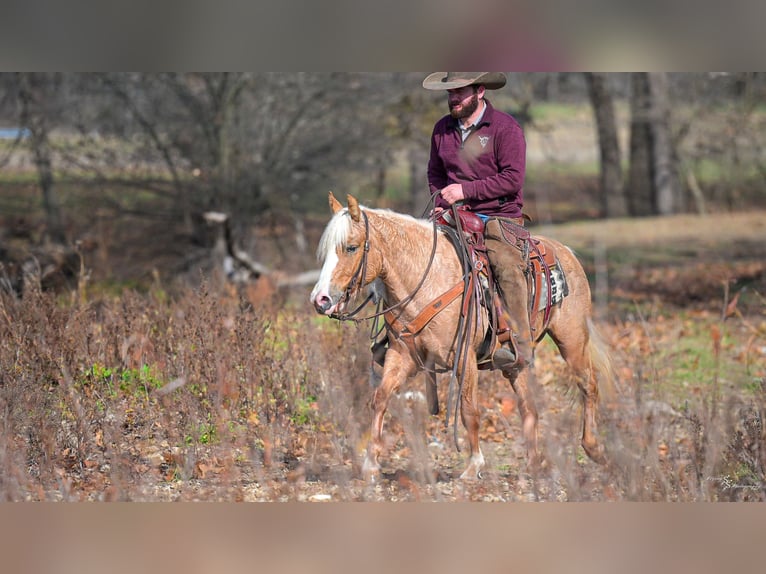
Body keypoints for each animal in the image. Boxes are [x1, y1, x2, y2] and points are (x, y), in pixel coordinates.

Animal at [310, 192, 613, 481]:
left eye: (351, 247)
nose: (320, 299)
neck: (427, 280)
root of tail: (567, 252)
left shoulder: (464, 356)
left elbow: (469, 409)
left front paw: (473, 465)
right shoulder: (402, 355)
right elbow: (380, 398)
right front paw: (371, 465)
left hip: (572, 339)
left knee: (588, 384)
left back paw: (594, 448)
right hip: (518, 361)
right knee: (529, 407)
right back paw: (533, 465)